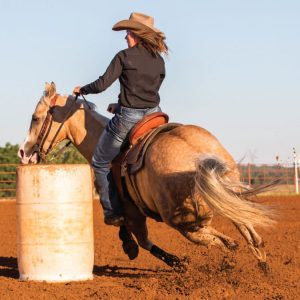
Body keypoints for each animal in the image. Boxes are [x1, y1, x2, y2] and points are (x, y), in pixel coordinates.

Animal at [18, 82, 276, 272]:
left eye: (35, 117)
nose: (23, 152)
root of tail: (198, 156)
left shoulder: (131, 211)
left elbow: (139, 238)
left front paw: (145, 251)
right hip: (228, 198)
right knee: (248, 233)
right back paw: (261, 267)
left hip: (181, 221)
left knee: (212, 238)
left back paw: (230, 252)